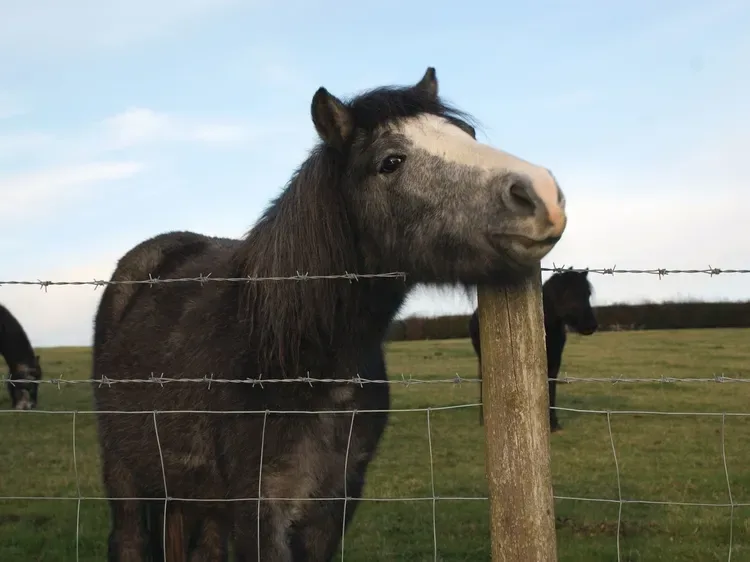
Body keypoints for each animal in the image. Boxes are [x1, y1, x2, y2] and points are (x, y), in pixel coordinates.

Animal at [91, 66, 567, 562]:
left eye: (468, 135)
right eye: (390, 161)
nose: (541, 194)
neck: (288, 355)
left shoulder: (333, 504)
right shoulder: (258, 512)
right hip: (125, 476)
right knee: (128, 538)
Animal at [469, 267, 597, 431]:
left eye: (588, 293)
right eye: (570, 293)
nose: (591, 325)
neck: (547, 326)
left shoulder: (555, 361)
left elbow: (551, 388)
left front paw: (554, 423)